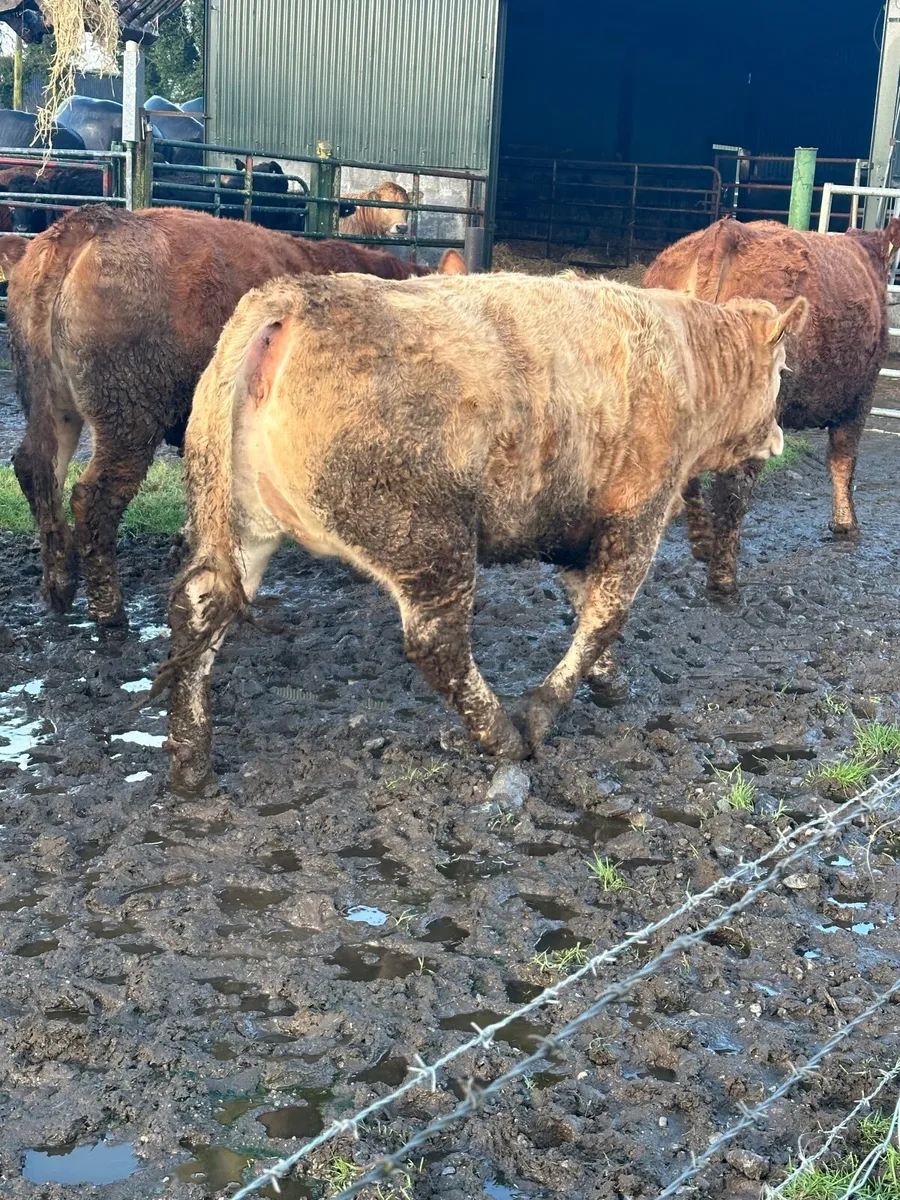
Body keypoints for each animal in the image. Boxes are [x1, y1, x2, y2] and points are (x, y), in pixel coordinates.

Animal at [7, 204, 467, 629]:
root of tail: (88, 223)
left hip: (53, 403)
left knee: (38, 470)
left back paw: (59, 586)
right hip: (129, 413)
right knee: (94, 497)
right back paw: (109, 611)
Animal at [153, 272, 806, 793]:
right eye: (780, 374)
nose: (777, 437)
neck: (687, 360)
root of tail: (293, 298)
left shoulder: (575, 530)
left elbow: (586, 603)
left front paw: (611, 681)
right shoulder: (637, 514)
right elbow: (606, 614)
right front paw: (546, 708)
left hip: (242, 526)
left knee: (199, 612)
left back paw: (191, 764)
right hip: (429, 539)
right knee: (438, 644)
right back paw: (503, 736)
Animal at [643, 217, 900, 601]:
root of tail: (723, 232)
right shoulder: (861, 396)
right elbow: (843, 460)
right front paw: (846, 525)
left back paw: (701, 544)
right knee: (733, 489)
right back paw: (723, 581)